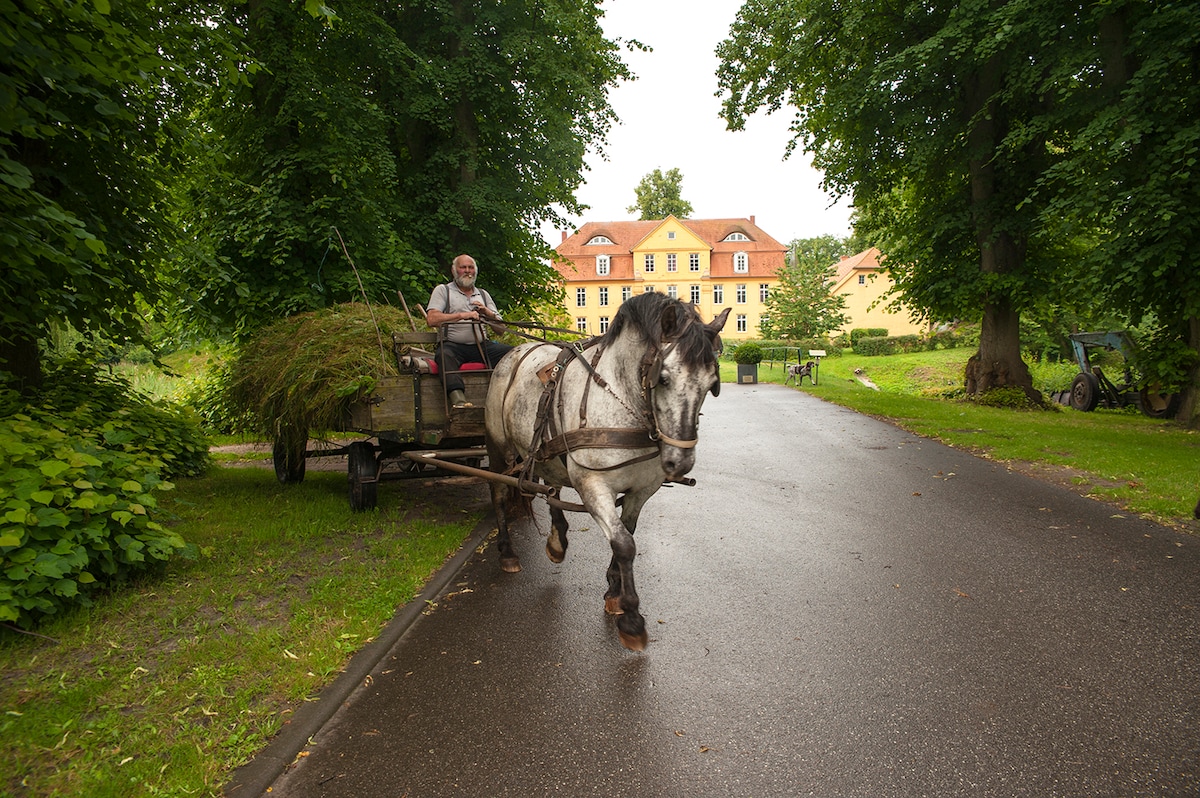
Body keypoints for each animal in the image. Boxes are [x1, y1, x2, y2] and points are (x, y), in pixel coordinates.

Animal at [480, 292, 724, 648]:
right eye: (663, 378)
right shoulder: (593, 485)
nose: (679, 463)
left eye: (711, 384)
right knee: (498, 492)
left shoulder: (641, 491)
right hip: (500, 449)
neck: (622, 402)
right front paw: (632, 618)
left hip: (548, 451)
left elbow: (627, 534)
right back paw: (508, 552)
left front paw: (613, 590)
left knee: (552, 487)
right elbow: (624, 544)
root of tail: (513, 351)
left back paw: (557, 540)